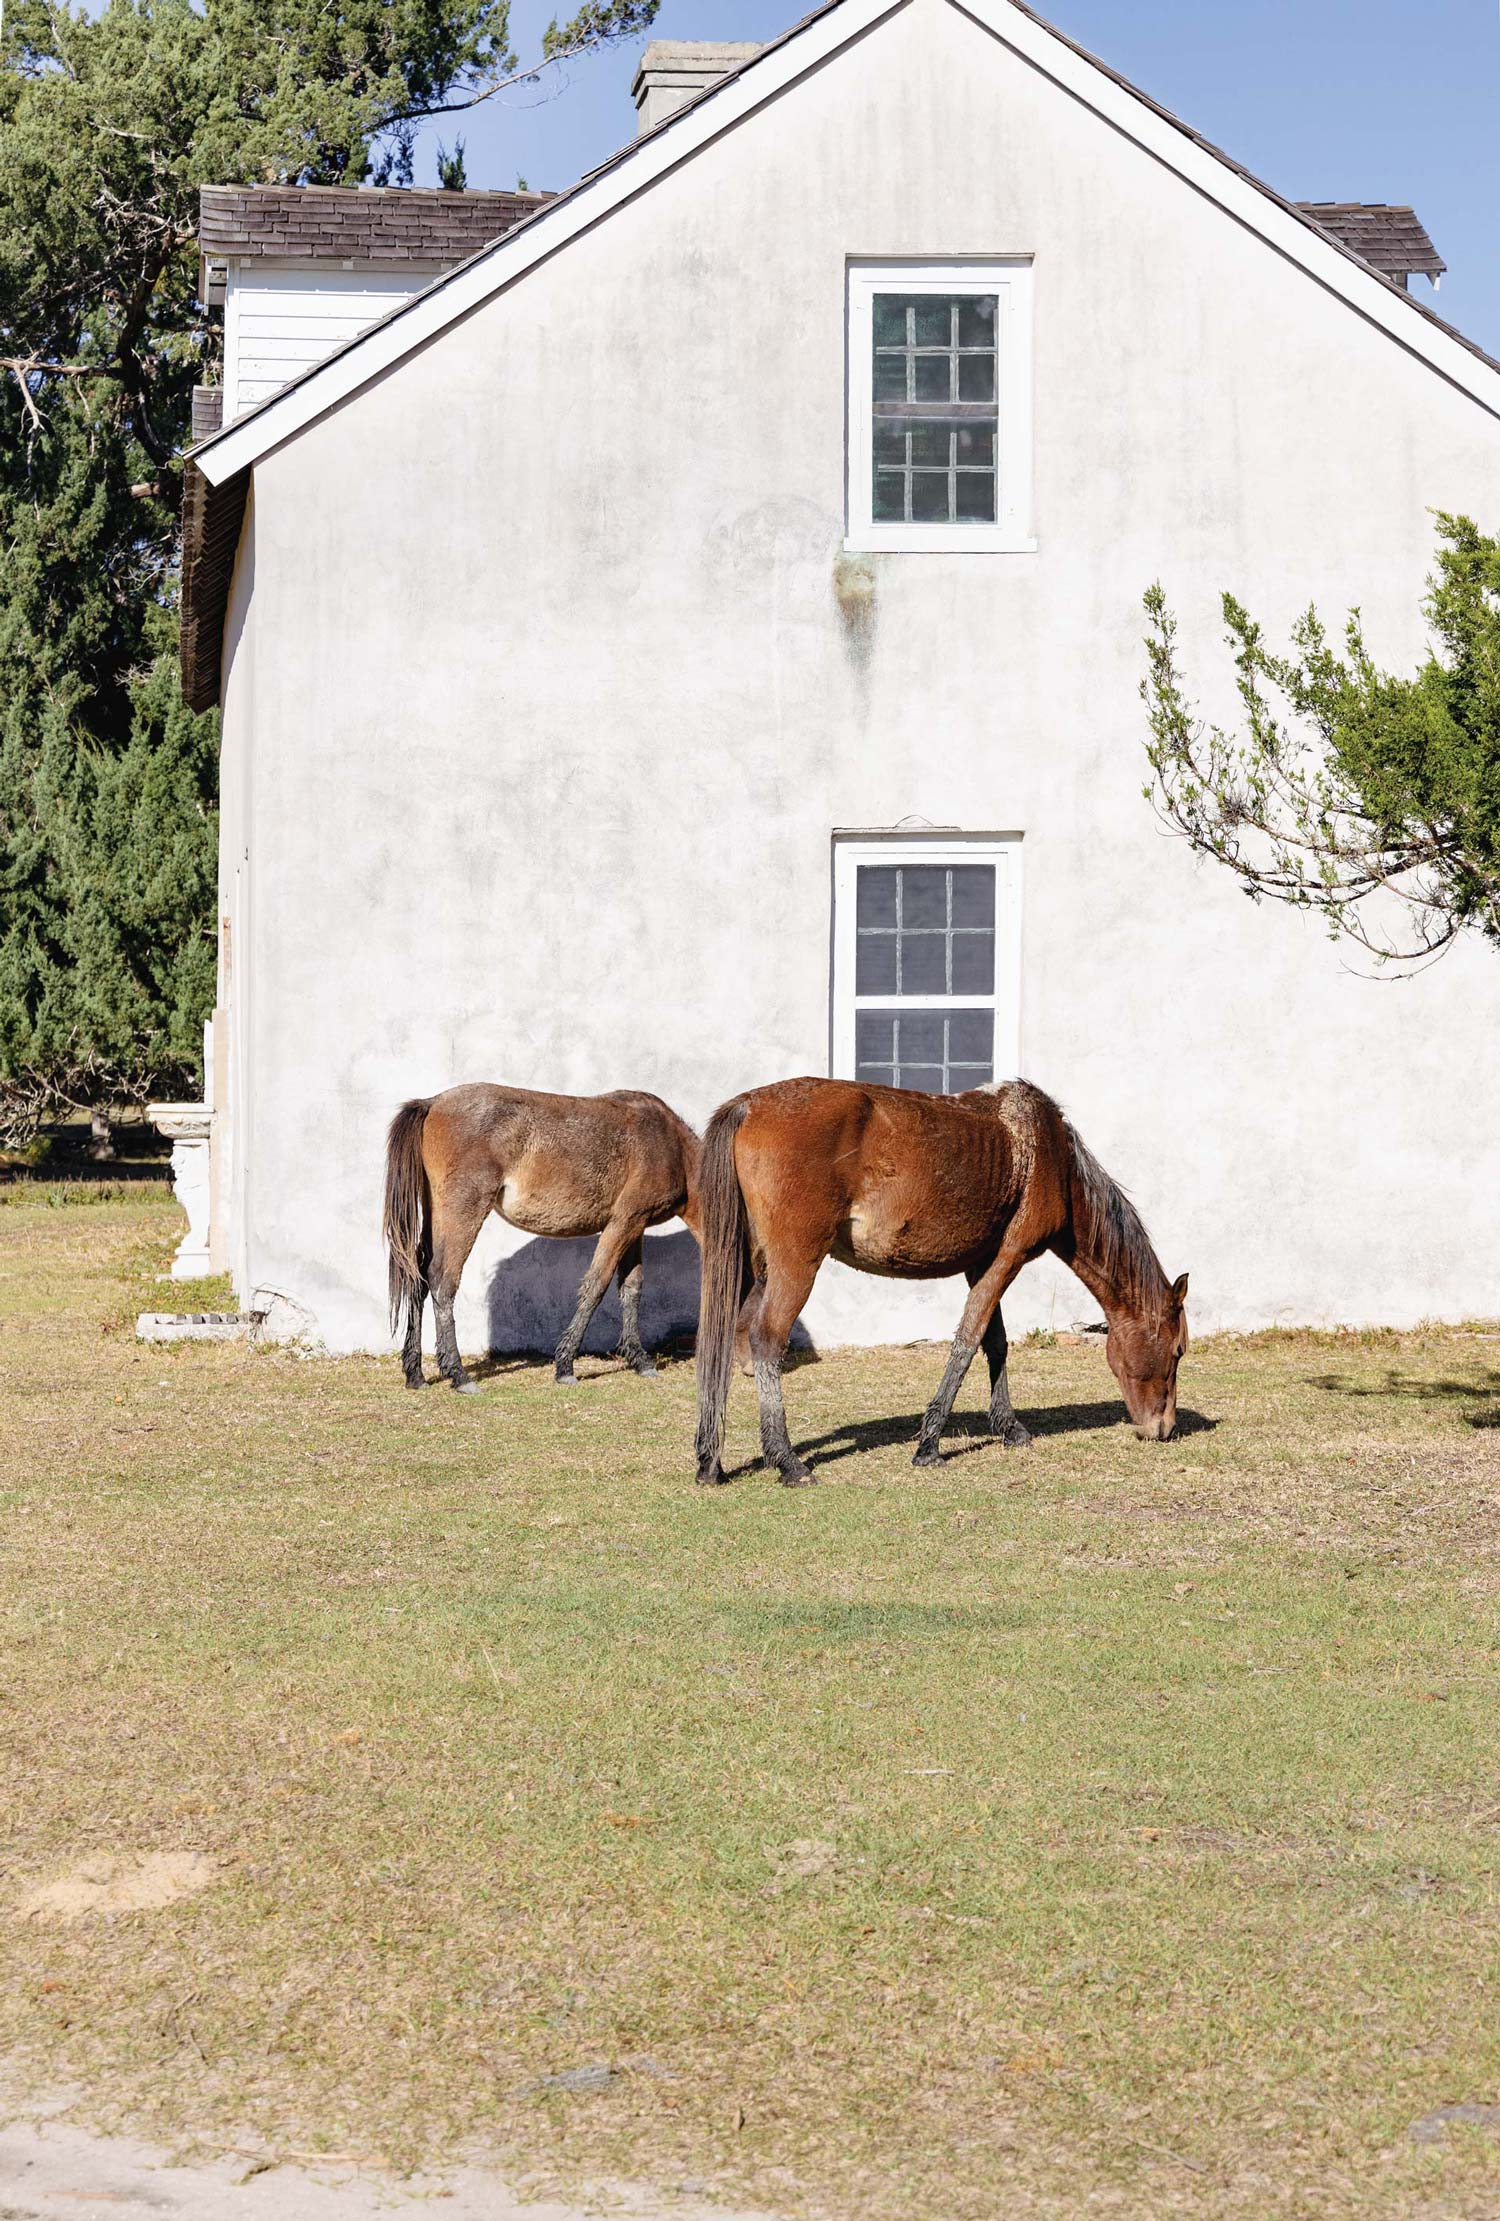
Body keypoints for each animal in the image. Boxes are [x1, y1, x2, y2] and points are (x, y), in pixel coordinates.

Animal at [382, 1088, 697, 1385]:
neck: (671, 1145)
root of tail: (433, 1102)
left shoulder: (636, 1227)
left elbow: (631, 1288)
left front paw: (640, 1360)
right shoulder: (624, 1222)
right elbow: (596, 1286)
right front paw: (566, 1366)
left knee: (418, 1277)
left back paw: (416, 1375)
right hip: (461, 1212)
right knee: (442, 1279)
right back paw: (459, 1375)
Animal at [693, 1079, 1200, 1492]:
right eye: (1177, 1352)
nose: (1164, 1428)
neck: (1047, 1154)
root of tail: (749, 1105)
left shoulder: (982, 1265)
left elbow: (995, 1344)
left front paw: (1009, 1427)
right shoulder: (1008, 1259)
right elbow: (967, 1343)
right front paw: (929, 1445)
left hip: (753, 1268)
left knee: (724, 1338)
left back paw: (710, 1461)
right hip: (795, 1266)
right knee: (765, 1340)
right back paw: (787, 1461)